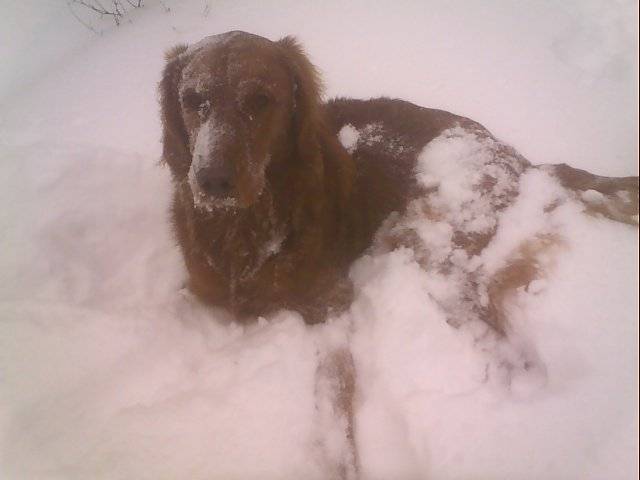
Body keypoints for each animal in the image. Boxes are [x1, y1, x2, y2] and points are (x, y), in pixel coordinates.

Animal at [159, 30, 636, 326]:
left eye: (260, 100)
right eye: (192, 98)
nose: (212, 181)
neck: (246, 226)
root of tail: (519, 159)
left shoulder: (329, 302)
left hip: (429, 243)